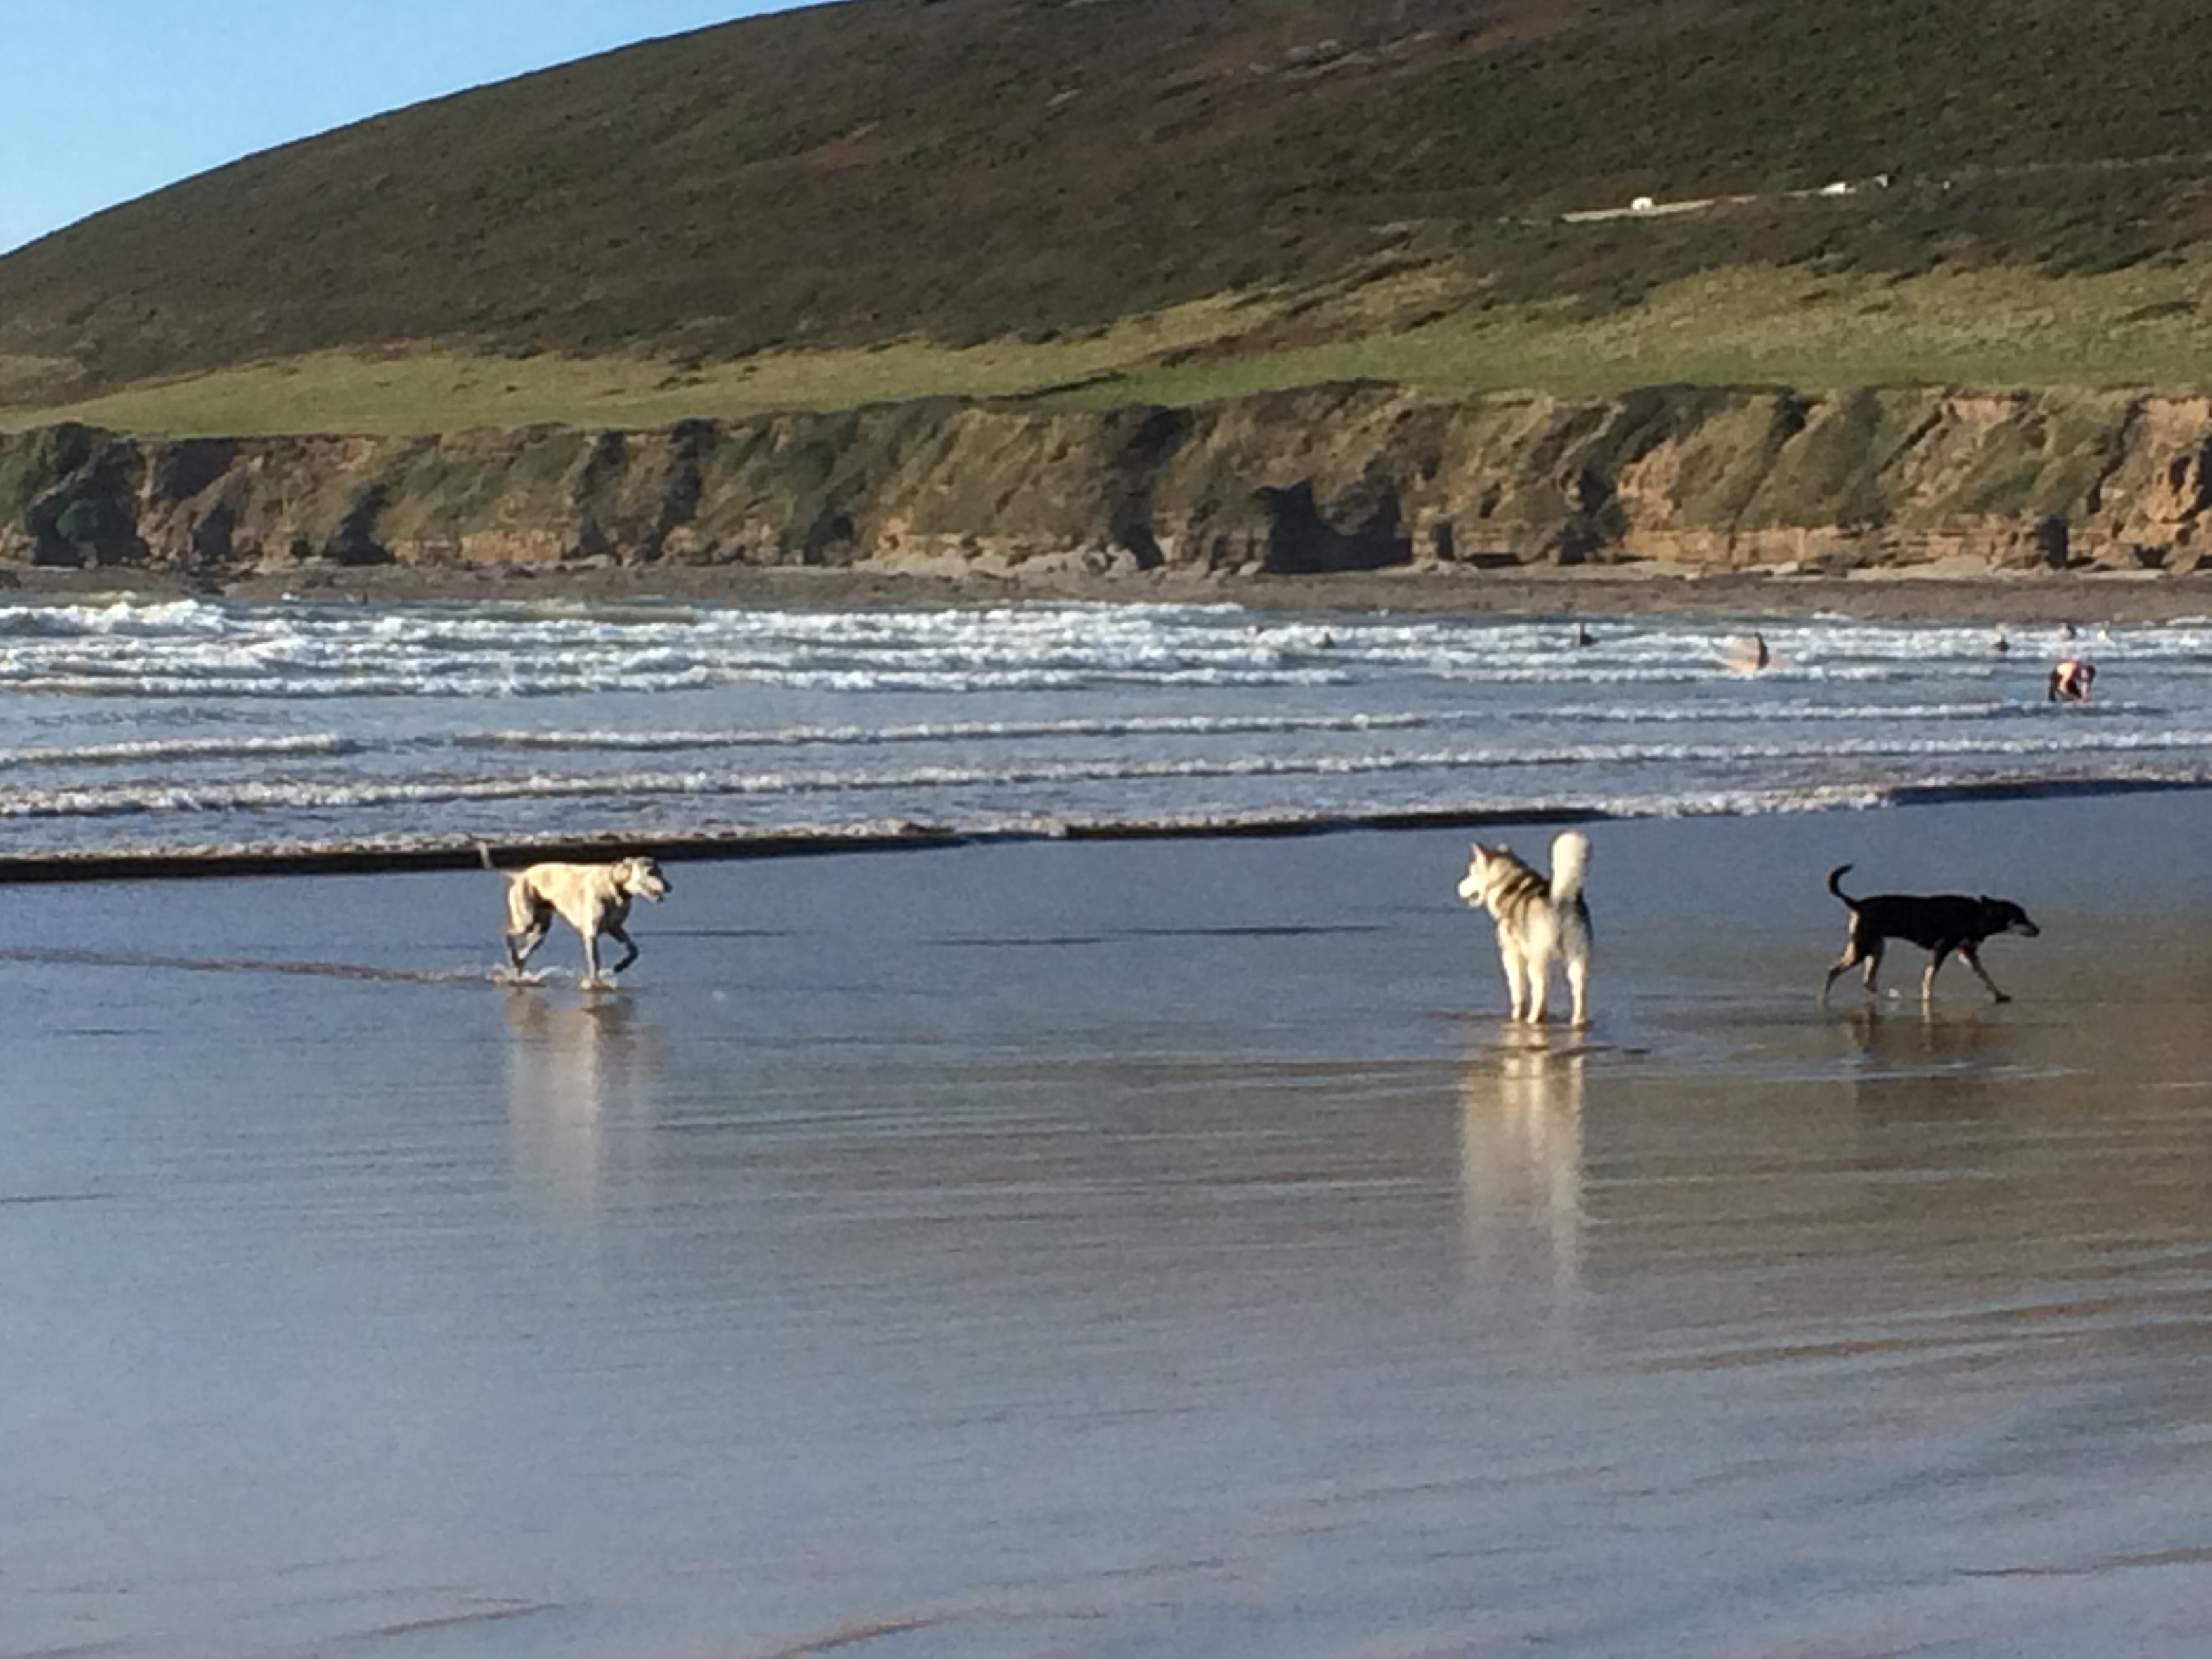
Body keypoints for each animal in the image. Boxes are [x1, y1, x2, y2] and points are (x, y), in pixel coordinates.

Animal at [475, 858, 663, 986]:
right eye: (650, 872)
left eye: (660, 871)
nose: (668, 887)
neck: (613, 883)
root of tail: (520, 875)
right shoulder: (591, 934)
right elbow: (594, 961)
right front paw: (594, 983)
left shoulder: (615, 928)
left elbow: (634, 951)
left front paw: (619, 967)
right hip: (526, 921)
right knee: (507, 933)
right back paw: (512, 957)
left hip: (541, 929)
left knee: (524, 953)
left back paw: (517, 968)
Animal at [1814, 862, 2034, 1008]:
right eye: (2020, 918)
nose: (2038, 930)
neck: (1978, 914)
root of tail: (1857, 904)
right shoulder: (1943, 947)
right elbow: (1930, 975)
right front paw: (1928, 997)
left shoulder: (1967, 952)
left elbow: (1985, 975)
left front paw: (1999, 995)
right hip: (1864, 947)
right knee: (1834, 971)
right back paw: (1824, 998)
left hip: (1876, 947)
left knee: (1867, 981)